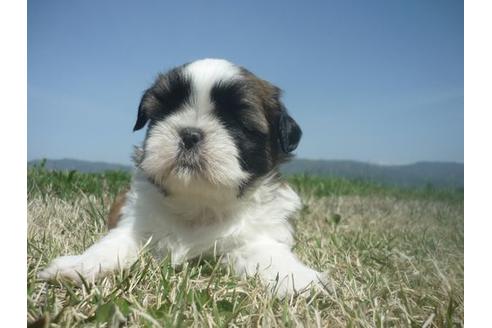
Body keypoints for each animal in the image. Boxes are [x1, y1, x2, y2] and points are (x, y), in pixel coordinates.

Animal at [39, 59, 326, 298]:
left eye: (236, 122)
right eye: (165, 112)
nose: (189, 134)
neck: (197, 205)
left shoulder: (253, 236)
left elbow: (268, 252)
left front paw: (298, 278)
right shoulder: (136, 226)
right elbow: (111, 245)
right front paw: (78, 265)